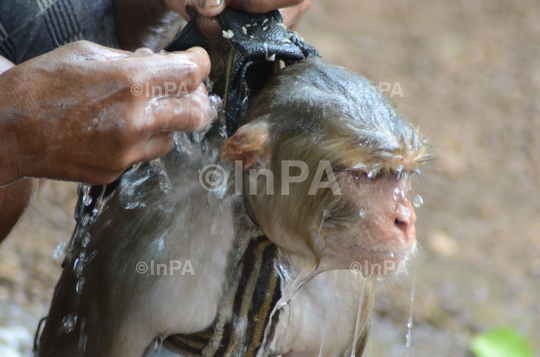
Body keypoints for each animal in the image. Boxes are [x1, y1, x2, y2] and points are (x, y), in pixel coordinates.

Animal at [35, 56, 428, 356]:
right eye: (363, 176)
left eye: (401, 176)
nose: (405, 220)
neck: (267, 244)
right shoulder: (140, 257)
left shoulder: (352, 294)